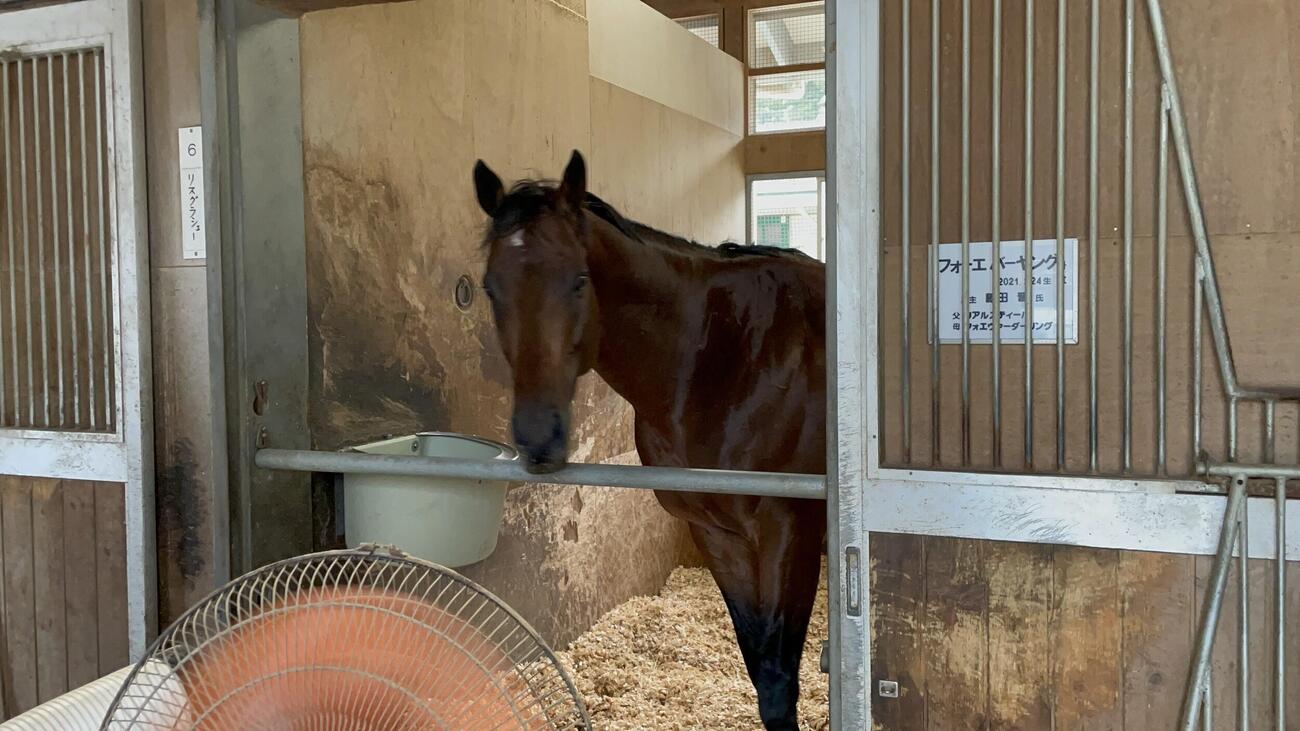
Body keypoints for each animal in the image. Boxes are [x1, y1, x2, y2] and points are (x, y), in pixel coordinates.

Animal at [472, 150, 827, 730]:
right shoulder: (718, 535)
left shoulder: (789, 531)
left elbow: (778, 682)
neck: (722, 358)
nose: (538, 437)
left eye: (580, 281)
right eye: (490, 287)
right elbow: (760, 670)